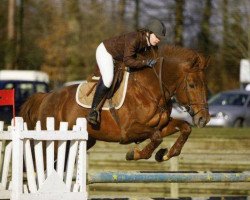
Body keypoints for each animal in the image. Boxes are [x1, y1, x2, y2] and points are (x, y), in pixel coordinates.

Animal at [20, 45, 210, 161]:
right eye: (192, 85)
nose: (204, 119)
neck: (150, 90)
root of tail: (46, 96)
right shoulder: (129, 130)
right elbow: (156, 137)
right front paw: (135, 154)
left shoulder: (161, 125)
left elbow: (185, 128)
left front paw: (164, 154)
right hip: (52, 139)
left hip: (81, 140)